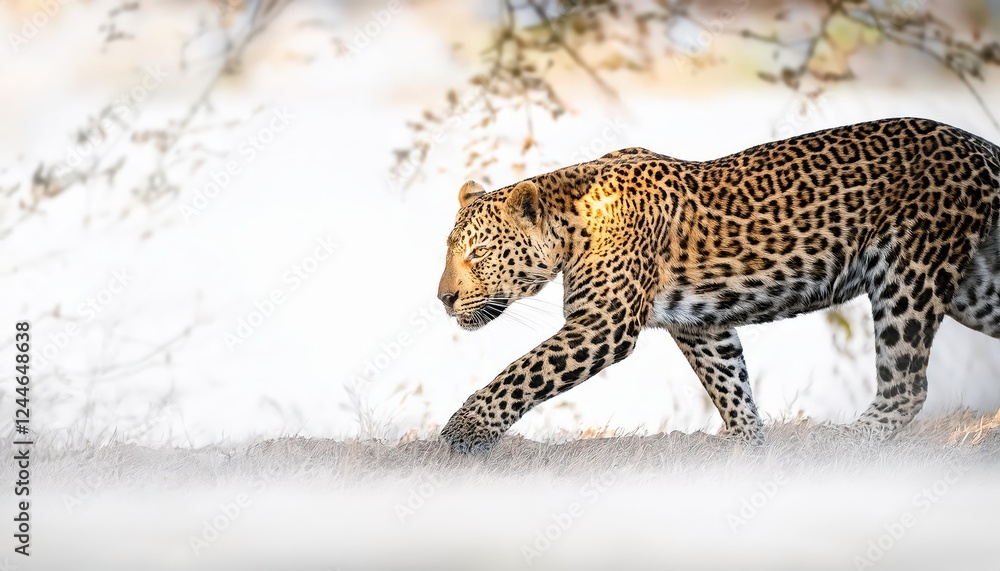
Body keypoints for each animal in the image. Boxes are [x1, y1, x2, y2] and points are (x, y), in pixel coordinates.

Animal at [436, 117, 1000, 454]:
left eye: (477, 254)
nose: (443, 299)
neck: (571, 224)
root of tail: (980, 146)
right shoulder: (701, 326)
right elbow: (730, 385)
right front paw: (748, 446)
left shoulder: (602, 326)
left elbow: (522, 373)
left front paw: (463, 432)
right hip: (975, 288)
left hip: (909, 274)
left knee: (907, 385)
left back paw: (840, 445)